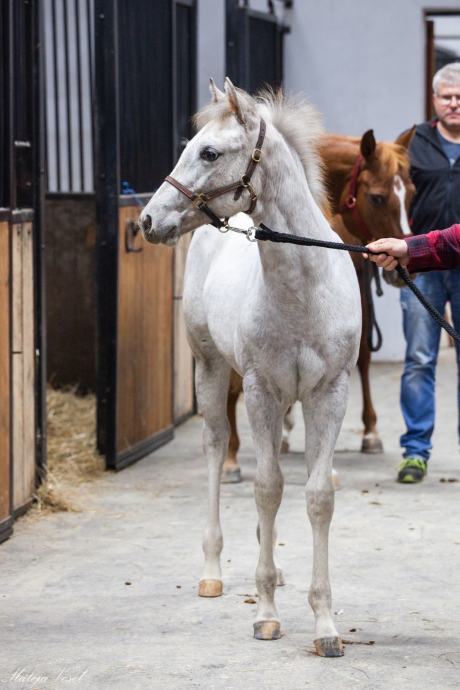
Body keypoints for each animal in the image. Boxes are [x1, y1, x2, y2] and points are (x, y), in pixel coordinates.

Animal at [138, 80, 362, 656]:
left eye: (209, 153)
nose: (147, 220)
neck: (303, 288)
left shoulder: (328, 394)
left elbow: (316, 495)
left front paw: (325, 626)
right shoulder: (261, 391)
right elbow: (266, 488)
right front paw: (265, 614)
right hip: (211, 370)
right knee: (217, 449)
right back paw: (213, 571)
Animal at [223, 126, 414, 482]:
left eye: (411, 192)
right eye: (377, 197)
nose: (401, 268)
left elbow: (362, 356)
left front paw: (369, 434)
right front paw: (232, 457)